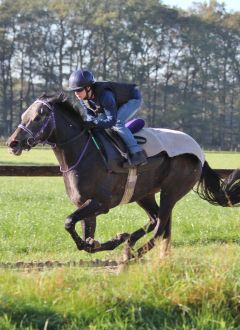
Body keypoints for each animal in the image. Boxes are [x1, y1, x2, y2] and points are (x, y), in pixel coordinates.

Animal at [6, 93, 240, 260]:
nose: (12, 143)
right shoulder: (86, 204)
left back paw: (133, 253)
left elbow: (69, 221)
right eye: (24, 115)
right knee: (156, 219)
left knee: (160, 226)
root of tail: (199, 151)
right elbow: (85, 240)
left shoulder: (101, 203)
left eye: (38, 116)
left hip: (171, 191)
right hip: (144, 194)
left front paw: (116, 240)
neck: (84, 152)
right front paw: (113, 239)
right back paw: (131, 242)